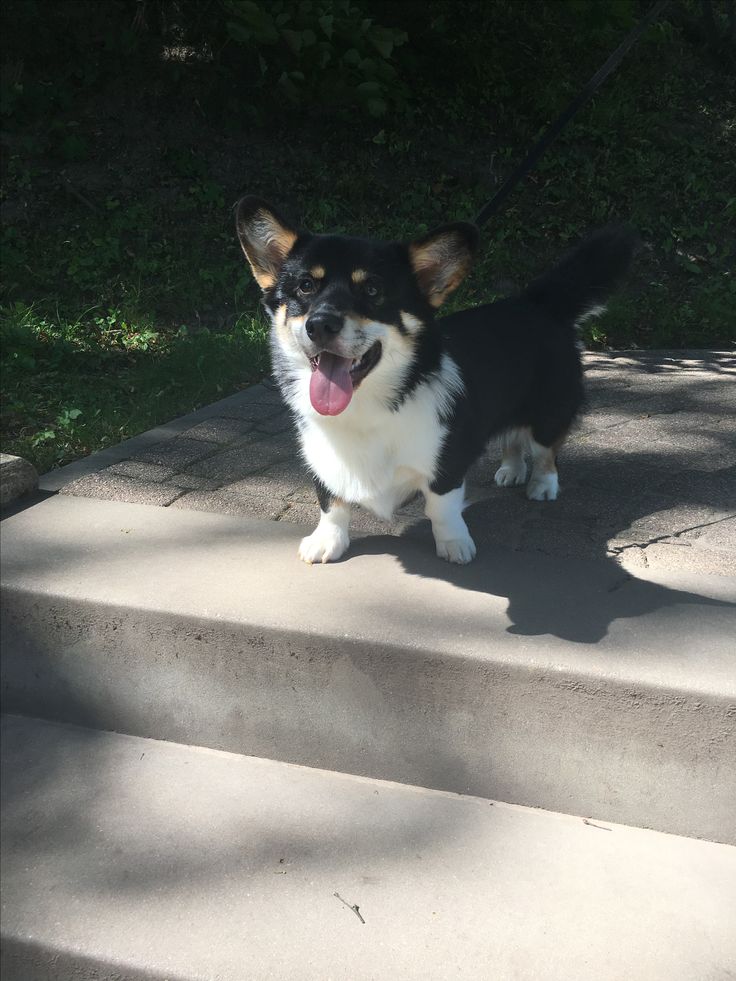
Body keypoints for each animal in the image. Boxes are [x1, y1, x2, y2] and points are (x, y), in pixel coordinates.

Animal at [237, 197, 640, 568]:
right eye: (305, 286)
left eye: (372, 290)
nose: (320, 324)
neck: (367, 408)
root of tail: (537, 303)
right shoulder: (322, 455)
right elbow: (331, 501)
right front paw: (327, 541)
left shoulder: (448, 460)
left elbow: (442, 507)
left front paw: (454, 545)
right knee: (512, 437)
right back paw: (511, 470)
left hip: (549, 409)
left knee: (545, 450)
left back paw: (542, 484)